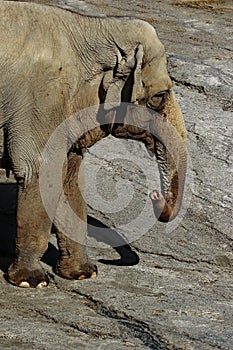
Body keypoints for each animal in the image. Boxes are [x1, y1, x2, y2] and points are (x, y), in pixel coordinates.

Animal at [0, 1, 187, 288]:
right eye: (160, 96)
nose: (154, 194)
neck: (92, 26)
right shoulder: (42, 101)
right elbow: (38, 170)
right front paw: (32, 281)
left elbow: (69, 179)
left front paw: (84, 273)